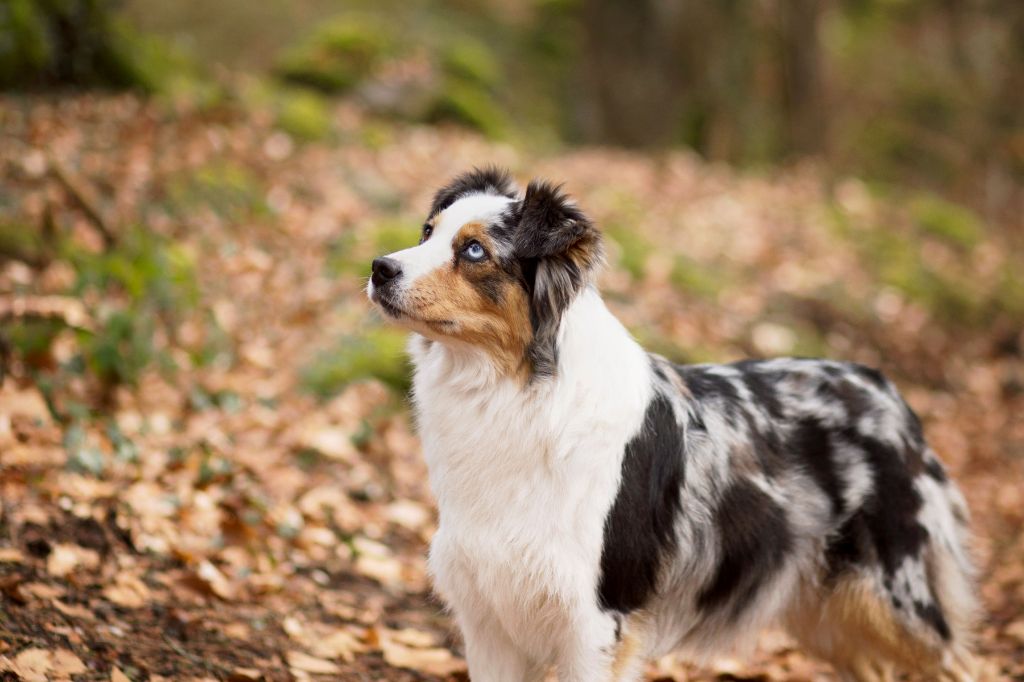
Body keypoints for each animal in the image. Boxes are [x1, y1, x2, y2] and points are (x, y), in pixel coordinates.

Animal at [364, 165, 978, 679]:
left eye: (473, 250)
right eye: (426, 232)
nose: (378, 267)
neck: (514, 391)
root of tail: (885, 389)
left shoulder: (596, 621)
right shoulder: (488, 616)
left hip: (895, 600)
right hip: (831, 613)